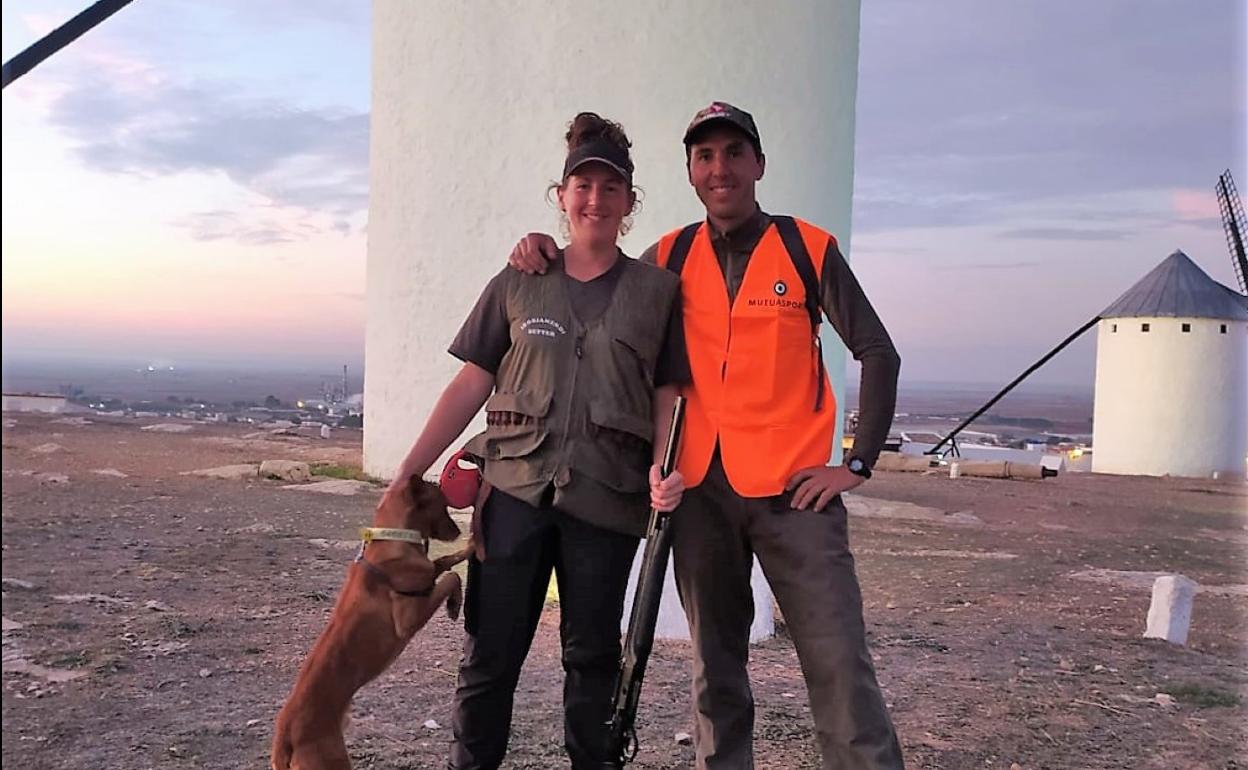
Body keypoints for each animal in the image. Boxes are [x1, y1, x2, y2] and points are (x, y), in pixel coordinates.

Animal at [270, 476, 469, 763]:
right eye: (442, 505)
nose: (457, 532)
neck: (393, 540)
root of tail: (284, 733)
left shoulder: (428, 574)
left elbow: (444, 562)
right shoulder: (408, 618)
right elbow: (450, 575)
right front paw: (456, 598)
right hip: (330, 759)